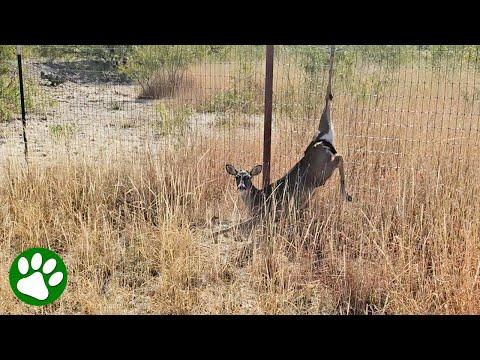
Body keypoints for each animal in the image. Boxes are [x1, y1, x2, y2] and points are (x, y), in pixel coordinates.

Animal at [225, 45, 352, 219]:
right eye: (237, 177)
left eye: (248, 177)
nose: (242, 187)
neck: (258, 198)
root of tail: (320, 139)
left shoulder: (265, 215)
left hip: (322, 172)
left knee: (340, 157)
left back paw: (346, 195)